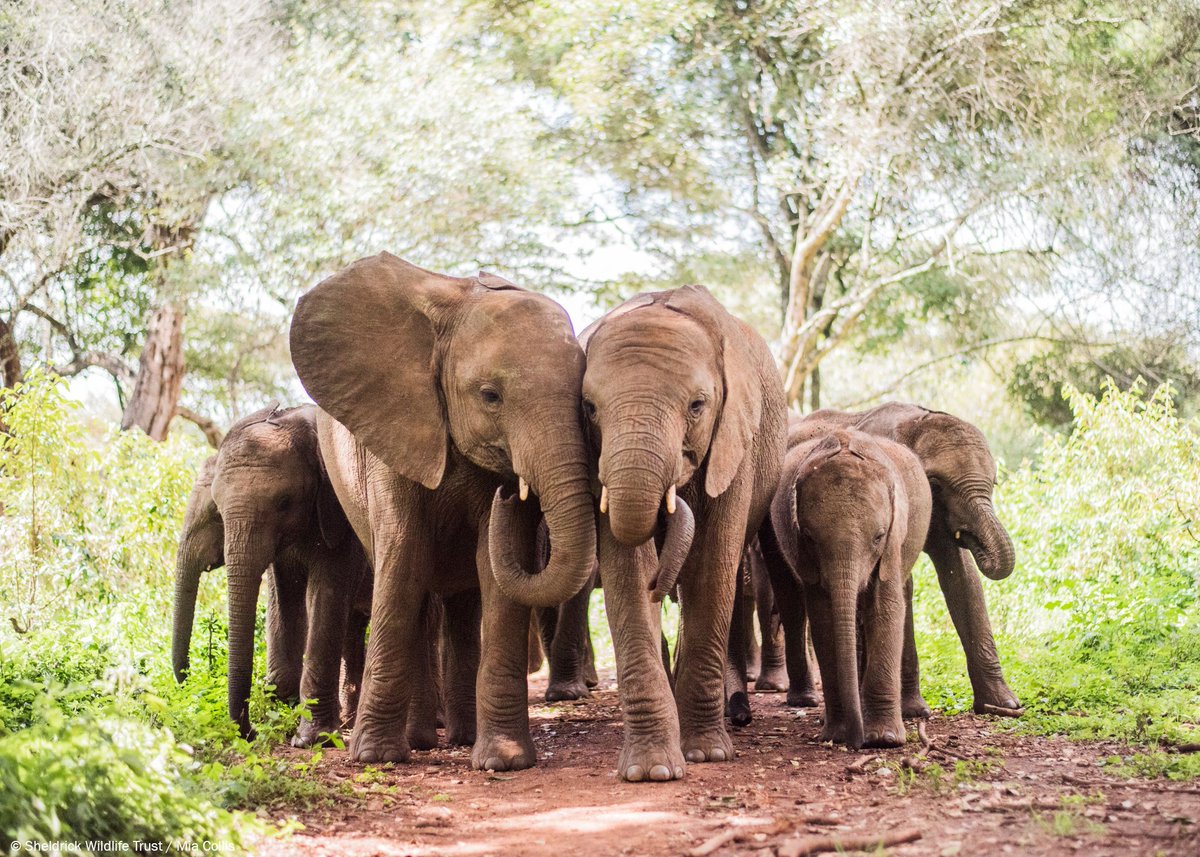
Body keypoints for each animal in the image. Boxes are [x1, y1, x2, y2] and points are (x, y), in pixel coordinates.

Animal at [171, 404, 373, 745]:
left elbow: (326, 595)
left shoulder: (339, 515)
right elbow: (284, 598)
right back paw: (349, 721)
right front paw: (281, 717)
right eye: (220, 512)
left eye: (284, 502)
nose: (249, 732)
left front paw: (310, 739)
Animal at [289, 252, 597, 769]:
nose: (512, 494)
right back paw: (419, 743)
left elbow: (496, 575)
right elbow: (404, 558)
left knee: (461, 607)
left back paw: (460, 738)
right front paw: (374, 758)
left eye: (583, 402)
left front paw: (503, 761)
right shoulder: (393, 439)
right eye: (490, 396)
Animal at [579, 285, 787, 782]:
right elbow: (627, 572)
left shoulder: (736, 443)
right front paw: (651, 770)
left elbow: (712, 569)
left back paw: (737, 714)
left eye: (697, 405)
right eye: (589, 408)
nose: (662, 587)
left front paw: (707, 754)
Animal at [771, 428, 932, 749]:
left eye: (879, 536)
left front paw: (884, 740)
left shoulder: (893, 546)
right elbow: (824, 620)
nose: (858, 743)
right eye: (809, 538)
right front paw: (838, 735)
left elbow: (886, 609)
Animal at [798, 403, 1022, 716]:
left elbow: (963, 578)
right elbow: (904, 585)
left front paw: (1003, 706)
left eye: (994, 482)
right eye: (935, 485)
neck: (913, 420)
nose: (973, 538)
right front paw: (914, 711)